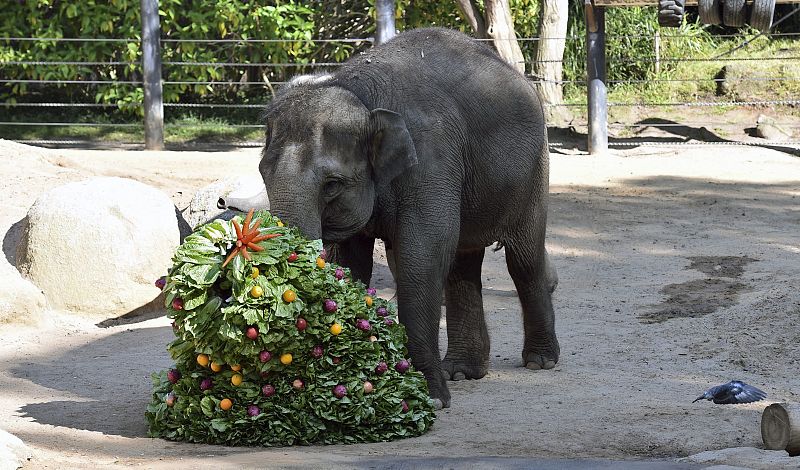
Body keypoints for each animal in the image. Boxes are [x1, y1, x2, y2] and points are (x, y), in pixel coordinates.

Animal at [228, 26, 560, 408]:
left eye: (332, 184)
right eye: (262, 173)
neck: (359, 94)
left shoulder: (432, 159)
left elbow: (422, 256)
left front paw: (430, 398)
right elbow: (351, 261)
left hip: (535, 169)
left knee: (522, 259)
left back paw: (539, 361)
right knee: (462, 265)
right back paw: (463, 371)